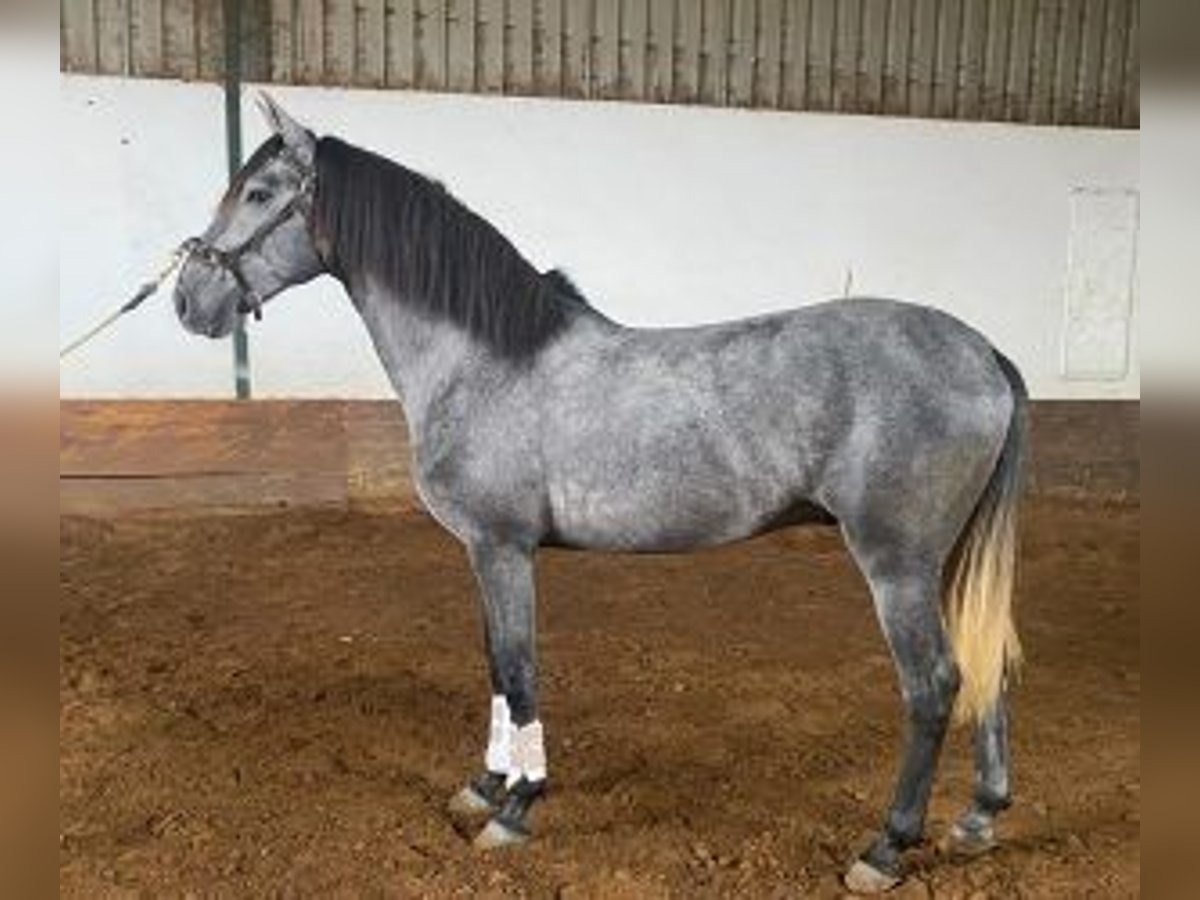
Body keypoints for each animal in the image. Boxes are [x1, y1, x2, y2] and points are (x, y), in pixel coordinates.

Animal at [174, 95, 1027, 897]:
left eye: (259, 193)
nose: (188, 300)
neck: (485, 359)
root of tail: (984, 351)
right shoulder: (484, 553)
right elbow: (494, 666)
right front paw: (483, 787)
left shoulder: (502, 548)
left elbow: (519, 671)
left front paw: (516, 809)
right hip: (946, 559)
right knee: (983, 664)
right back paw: (979, 819)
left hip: (896, 564)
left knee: (933, 686)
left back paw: (886, 847)